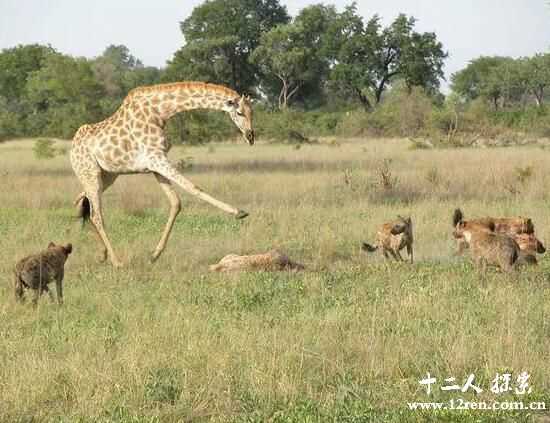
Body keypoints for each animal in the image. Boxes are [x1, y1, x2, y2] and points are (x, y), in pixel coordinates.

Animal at [69, 82, 256, 268]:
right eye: (239, 112)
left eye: (252, 112)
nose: (250, 136)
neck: (160, 113)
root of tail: (72, 148)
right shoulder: (156, 159)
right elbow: (193, 187)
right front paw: (239, 212)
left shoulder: (156, 164)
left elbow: (175, 203)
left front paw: (154, 255)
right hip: (90, 173)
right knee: (96, 214)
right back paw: (116, 261)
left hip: (107, 175)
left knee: (82, 202)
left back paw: (102, 254)